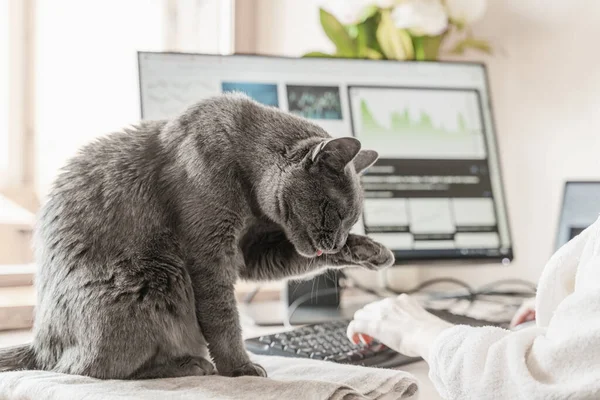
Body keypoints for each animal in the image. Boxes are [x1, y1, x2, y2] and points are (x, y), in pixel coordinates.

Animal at [0, 93, 394, 378]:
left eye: (351, 221)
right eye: (335, 213)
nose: (338, 240)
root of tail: (40, 344)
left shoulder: (250, 252)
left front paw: (374, 252)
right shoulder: (210, 254)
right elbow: (223, 318)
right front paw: (239, 368)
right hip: (156, 277)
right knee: (88, 369)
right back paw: (188, 364)